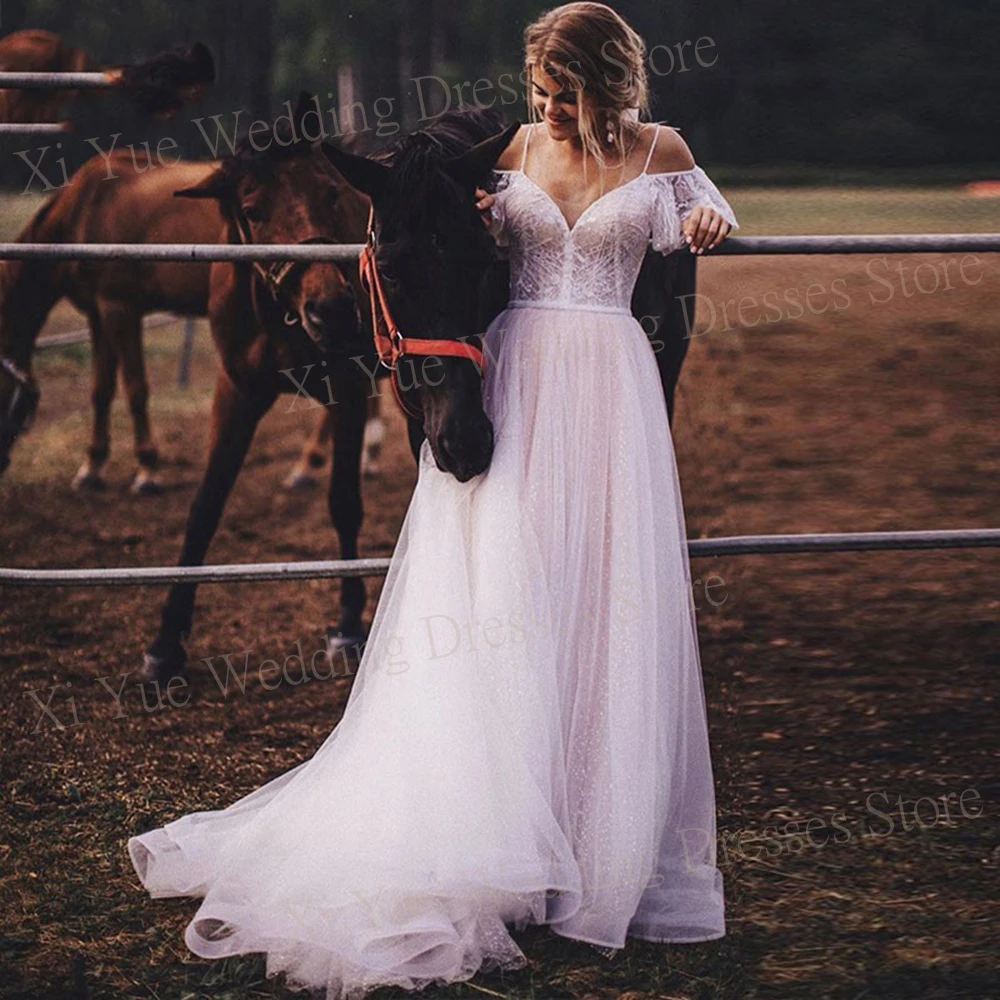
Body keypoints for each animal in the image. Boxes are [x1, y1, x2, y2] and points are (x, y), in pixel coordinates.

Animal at [0, 150, 225, 490]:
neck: (84, 213)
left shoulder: (120, 309)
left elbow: (135, 388)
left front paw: (147, 469)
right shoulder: (98, 314)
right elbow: (101, 389)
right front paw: (91, 467)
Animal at [141, 94, 376, 684]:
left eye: (330, 192)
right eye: (252, 211)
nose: (332, 309)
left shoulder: (349, 387)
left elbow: (344, 502)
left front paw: (347, 625)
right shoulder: (237, 393)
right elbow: (205, 506)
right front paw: (166, 641)